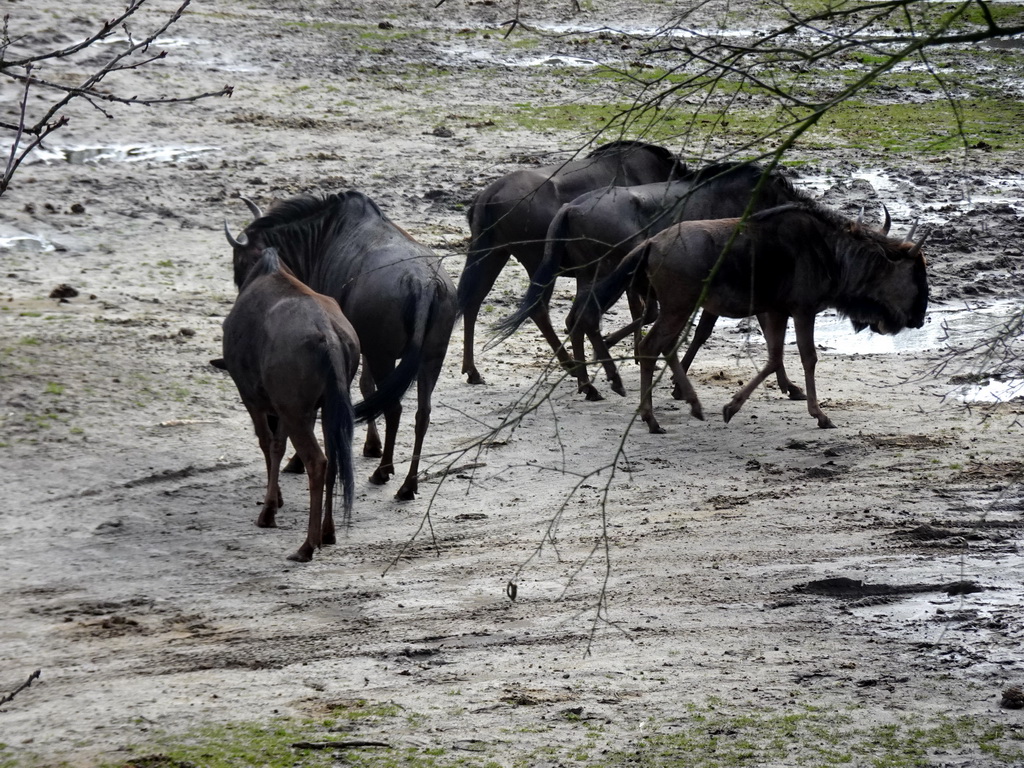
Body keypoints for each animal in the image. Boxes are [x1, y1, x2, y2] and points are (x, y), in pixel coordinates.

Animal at [221, 249, 360, 561]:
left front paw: (270, 509)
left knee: (317, 461)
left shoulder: (254, 398)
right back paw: (328, 533)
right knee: (334, 458)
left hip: (296, 411)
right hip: (326, 408)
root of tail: (330, 338)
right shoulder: (285, 407)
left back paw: (307, 545)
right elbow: (278, 446)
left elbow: (267, 443)